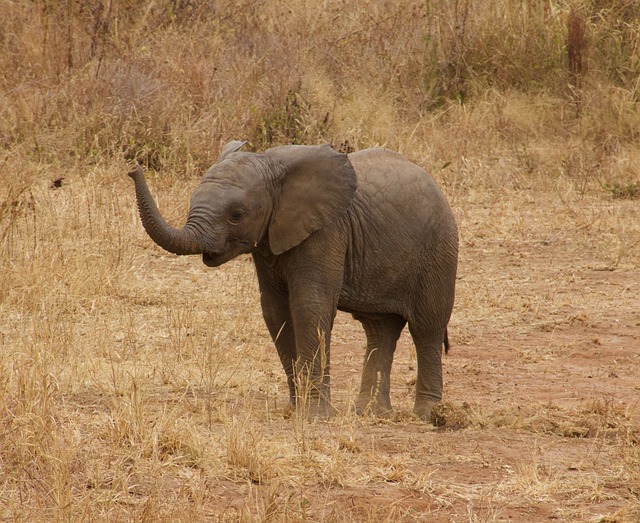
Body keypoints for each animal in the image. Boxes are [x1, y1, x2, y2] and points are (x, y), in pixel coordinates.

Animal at [129, 141, 456, 424]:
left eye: (237, 215)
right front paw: (295, 409)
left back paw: (429, 416)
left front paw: (314, 417)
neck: (272, 167)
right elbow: (276, 312)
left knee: (426, 327)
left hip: (439, 250)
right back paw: (371, 414)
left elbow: (309, 308)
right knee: (380, 330)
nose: (132, 166)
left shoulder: (326, 232)